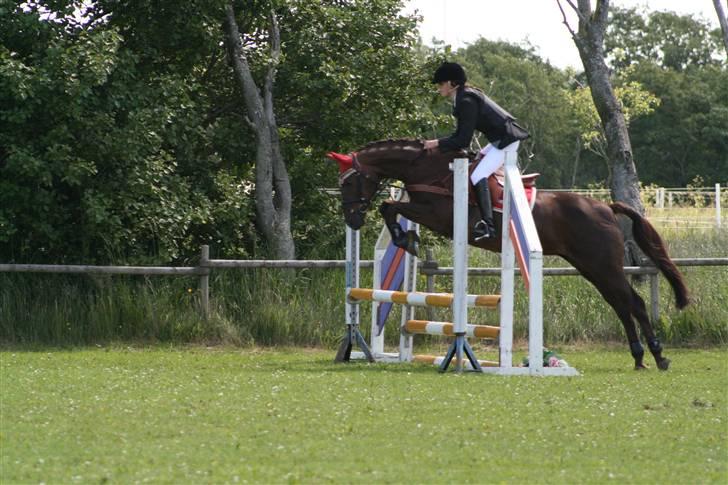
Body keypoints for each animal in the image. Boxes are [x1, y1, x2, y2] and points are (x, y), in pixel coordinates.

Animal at [328, 138, 692, 368]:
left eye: (348, 183)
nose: (352, 219)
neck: (428, 169)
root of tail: (604, 206)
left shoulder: (437, 215)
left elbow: (390, 207)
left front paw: (407, 240)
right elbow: (390, 207)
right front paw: (407, 239)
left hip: (604, 265)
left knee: (635, 303)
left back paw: (658, 356)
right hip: (592, 267)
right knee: (620, 304)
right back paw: (639, 356)